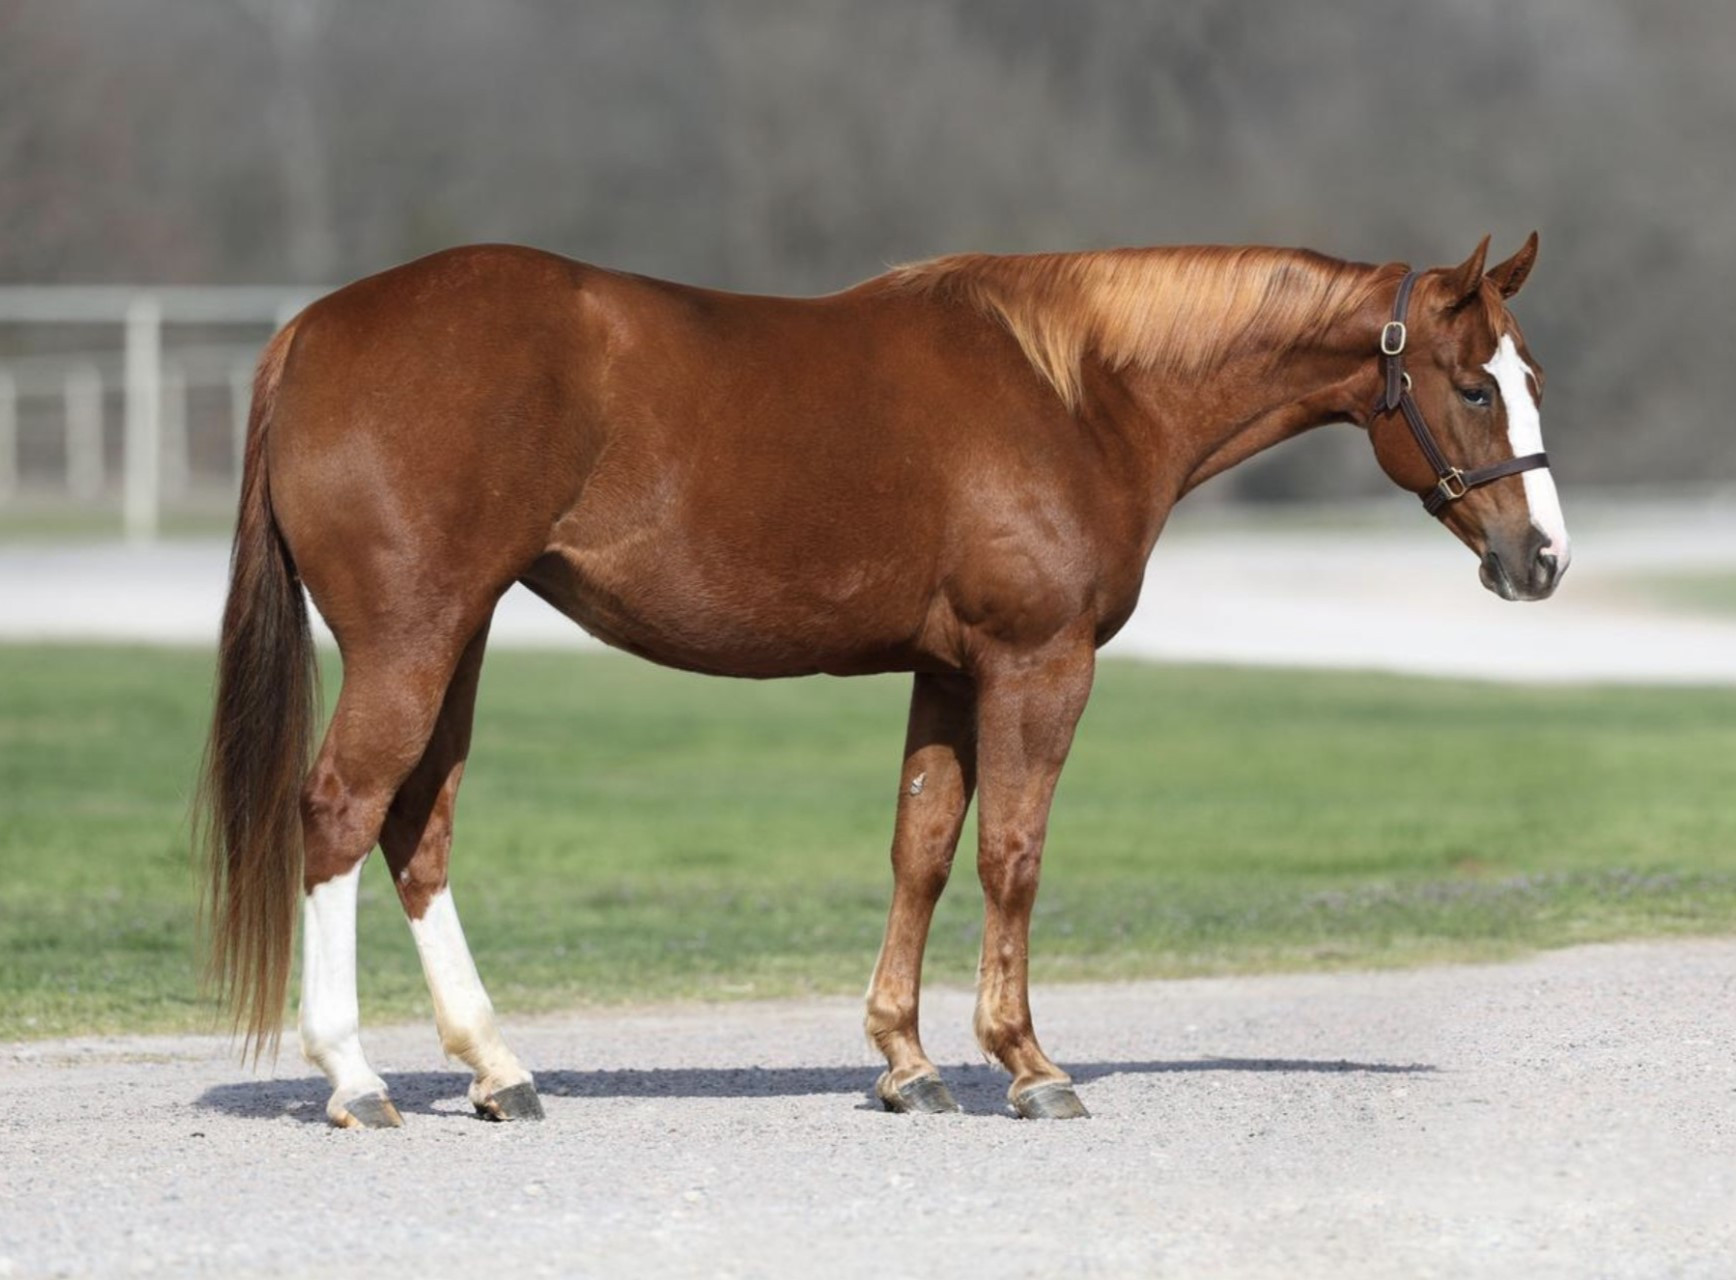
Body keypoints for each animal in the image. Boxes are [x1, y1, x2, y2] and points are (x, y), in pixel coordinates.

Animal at [197, 234, 1569, 1125]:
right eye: (1468, 385)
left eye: (1529, 379)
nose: (1540, 558)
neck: (1080, 391)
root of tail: (310, 331)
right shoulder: (1036, 664)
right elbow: (1010, 851)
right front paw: (1026, 1062)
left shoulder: (947, 674)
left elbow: (921, 846)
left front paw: (906, 1061)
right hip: (412, 639)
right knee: (339, 811)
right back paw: (356, 1077)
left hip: (458, 637)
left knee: (415, 829)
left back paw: (497, 1066)